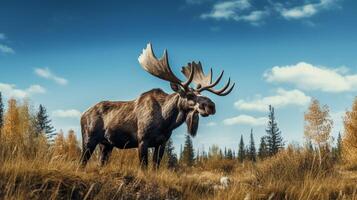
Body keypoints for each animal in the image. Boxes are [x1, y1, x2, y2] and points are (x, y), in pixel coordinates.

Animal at [80, 43, 234, 169]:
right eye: (189, 95)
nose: (211, 106)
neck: (166, 121)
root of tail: (82, 115)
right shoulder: (142, 140)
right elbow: (144, 167)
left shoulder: (161, 143)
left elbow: (155, 166)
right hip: (89, 139)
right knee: (82, 162)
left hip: (106, 145)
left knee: (100, 163)